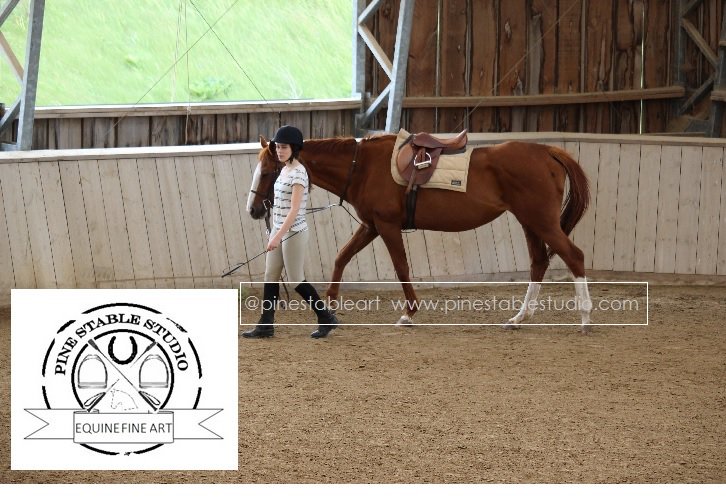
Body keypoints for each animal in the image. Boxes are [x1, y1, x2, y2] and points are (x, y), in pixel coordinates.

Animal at [247, 132, 592, 332]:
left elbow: (401, 266)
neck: (363, 167)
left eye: (267, 172)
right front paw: (329, 306)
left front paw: (409, 314)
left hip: (541, 221)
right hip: (530, 222)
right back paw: (520, 318)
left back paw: (586, 317)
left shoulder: (386, 226)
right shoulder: (371, 226)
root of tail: (547, 152)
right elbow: (342, 257)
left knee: (574, 256)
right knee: (538, 263)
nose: (253, 210)